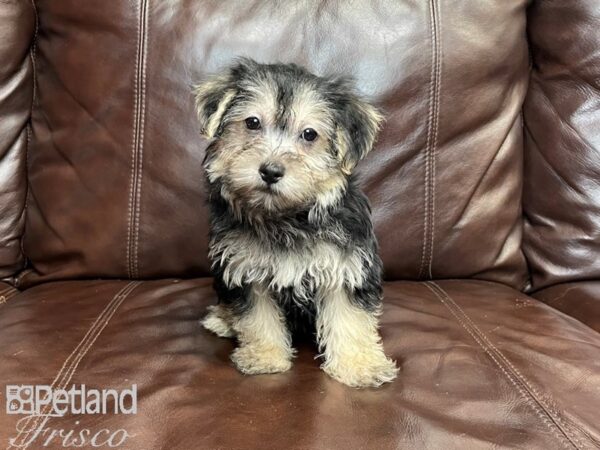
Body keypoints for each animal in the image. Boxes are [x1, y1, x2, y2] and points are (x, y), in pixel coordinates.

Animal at [195, 58, 396, 386]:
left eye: (309, 134)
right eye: (252, 122)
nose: (271, 171)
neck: (288, 218)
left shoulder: (345, 267)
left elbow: (350, 317)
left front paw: (360, 366)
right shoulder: (247, 269)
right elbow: (257, 318)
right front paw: (265, 357)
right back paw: (223, 319)